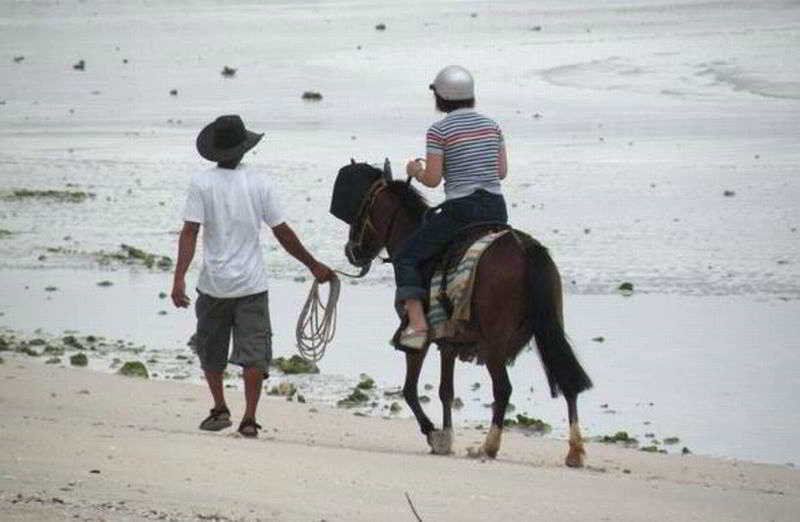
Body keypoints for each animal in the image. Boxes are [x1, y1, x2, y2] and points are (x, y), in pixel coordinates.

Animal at [332, 161, 592, 464]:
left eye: (362, 209)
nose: (351, 251)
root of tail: (525, 249)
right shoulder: (449, 341)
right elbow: (446, 391)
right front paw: (446, 433)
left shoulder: (418, 340)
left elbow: (410, 390)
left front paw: (434, 434)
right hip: (548, 329)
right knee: (567, 379)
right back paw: (574, 450)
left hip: (495, 344)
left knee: (503, 389)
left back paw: (488, 446)